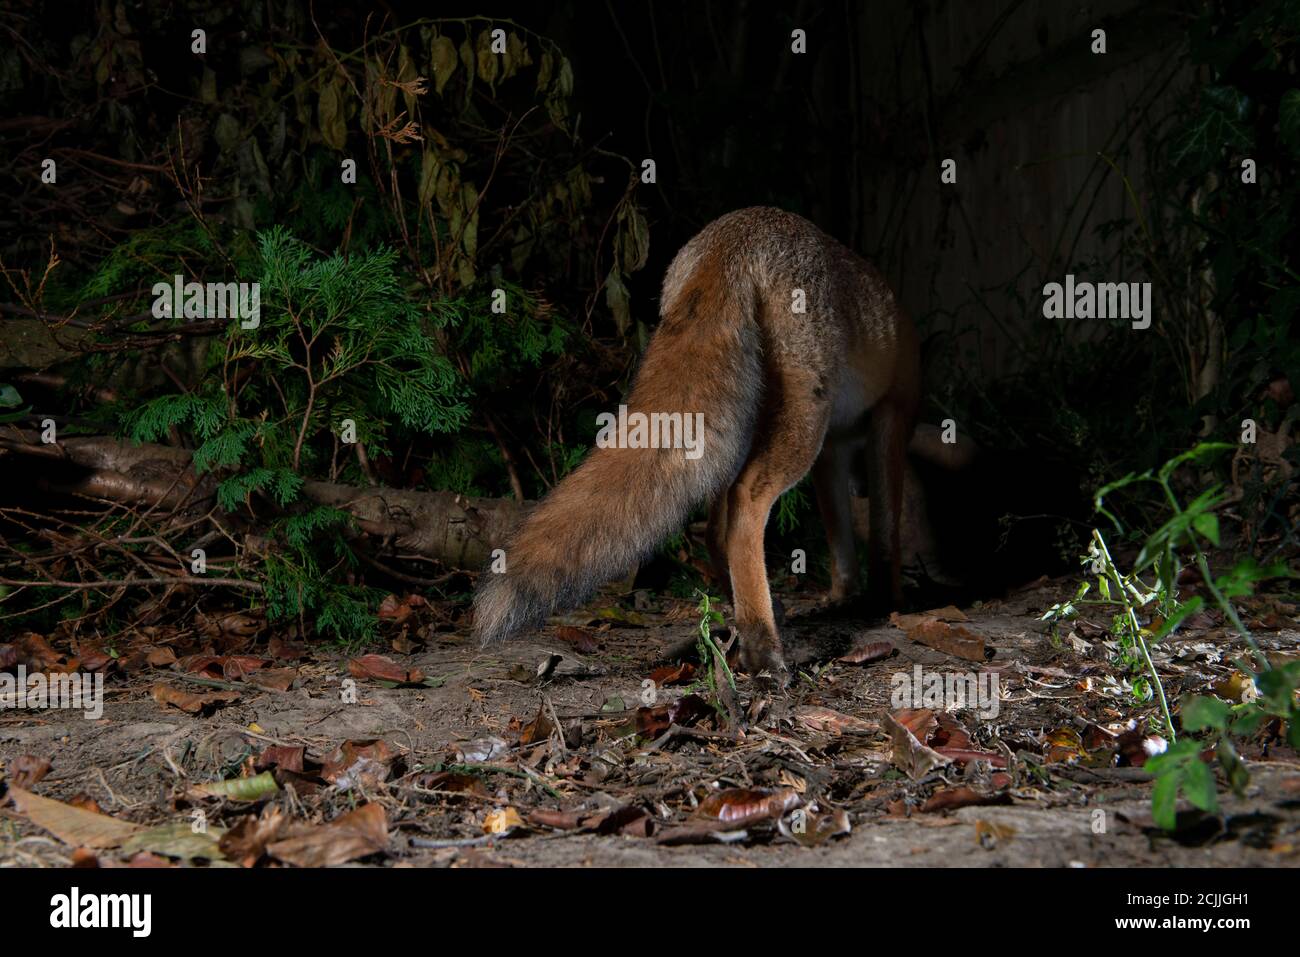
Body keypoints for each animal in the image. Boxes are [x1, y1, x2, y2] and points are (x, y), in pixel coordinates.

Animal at [473, 208, 920, 686]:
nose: (860, 487)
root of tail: (735, 235)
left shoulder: (833, 454)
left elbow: (840, 536)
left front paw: (844, 593)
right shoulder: (893, 417)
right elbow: (887, 527)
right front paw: (888, 599)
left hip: (742, 428)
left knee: (714, 527)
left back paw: (748, 613)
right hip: (803, 419)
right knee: (744, 507)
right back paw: (763, 647)